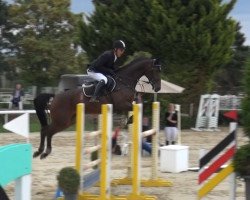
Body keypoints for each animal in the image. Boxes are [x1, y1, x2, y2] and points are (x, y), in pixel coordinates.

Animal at [33, 57, 161, 159]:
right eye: (155, 71)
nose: (158, 88)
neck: (124, 81)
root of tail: (55, 96)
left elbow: (138, 103)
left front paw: (129, 120)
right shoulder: (121, 104)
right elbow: (134, 107)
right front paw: (129, 120)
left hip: (68, 121)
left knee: (47, 131)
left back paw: (40, 152)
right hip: (61, 121)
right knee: (47, 131)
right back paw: (43, 152)